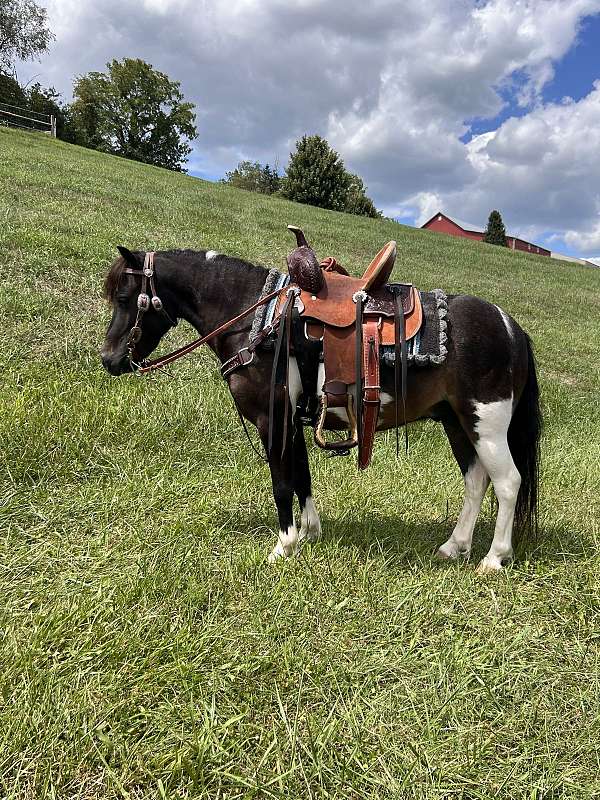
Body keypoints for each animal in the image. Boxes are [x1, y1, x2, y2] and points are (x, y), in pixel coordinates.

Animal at [103, 247, 544, 572]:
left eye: (125, 298)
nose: (109, 360)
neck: (256, 318)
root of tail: (512, 328)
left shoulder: (272, 418)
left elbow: (282, 482)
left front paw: (282, 547)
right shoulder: (293, 419)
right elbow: (302, 474)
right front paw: (309, 532)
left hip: (486, 425)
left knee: (508, 483)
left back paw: (494, 558)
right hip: (457, 422)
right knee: (476, 482)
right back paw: (455, 545)